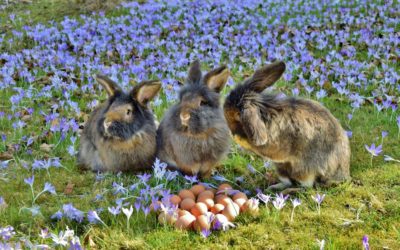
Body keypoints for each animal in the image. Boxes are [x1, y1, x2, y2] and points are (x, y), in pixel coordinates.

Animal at [223, 61, 352, 190]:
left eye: (237, 114)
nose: (232, 132)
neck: (264, 113)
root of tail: (341, 175)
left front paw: (238, 139)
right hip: (281, 168)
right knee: (288, 181)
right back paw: (273, 188)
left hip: (304, 170)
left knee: (305, 186)